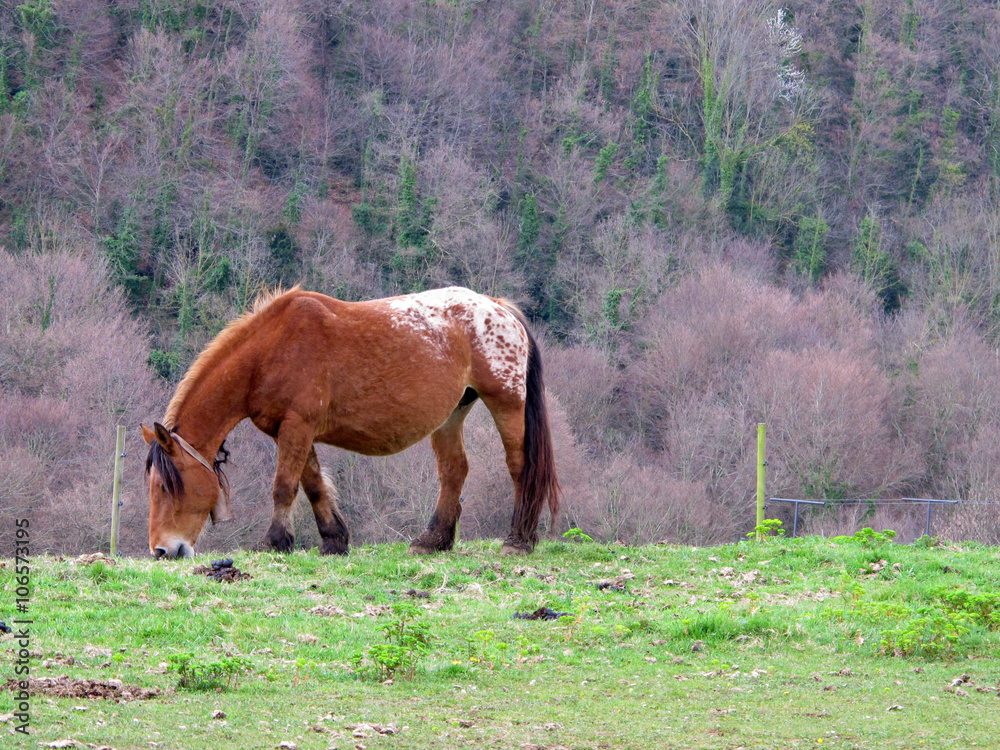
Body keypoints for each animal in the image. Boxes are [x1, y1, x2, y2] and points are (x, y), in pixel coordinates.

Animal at [142, 286, 560, 559]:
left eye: (165, 487)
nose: (162, 550)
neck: (270, 351)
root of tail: (498, 307)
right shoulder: (292, 431)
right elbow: (313, 485)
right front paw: (334, 540)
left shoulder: (296, 427)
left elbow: (284, 487)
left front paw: (274, 542)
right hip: (451, 415)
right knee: (454, 471)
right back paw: (433, 540)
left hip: (506, 404)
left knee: (520, 467)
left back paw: (518, 540)